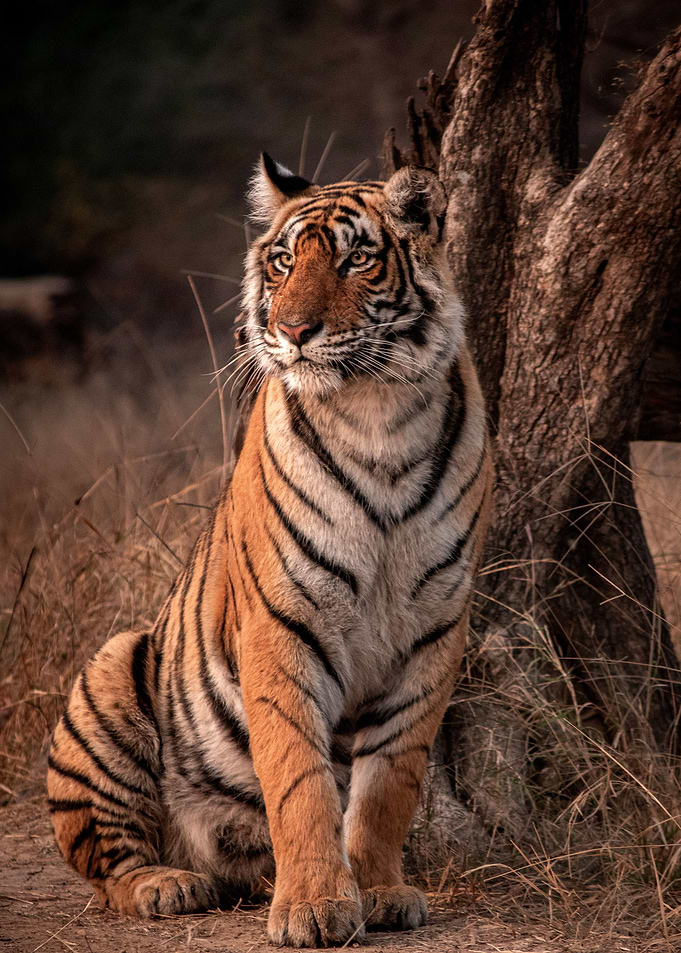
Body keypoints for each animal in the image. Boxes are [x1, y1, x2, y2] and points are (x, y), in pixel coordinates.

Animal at [47, 152, 492, 948]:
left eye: (355, 259)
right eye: (283, 262)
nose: (293, 329)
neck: (378, 414)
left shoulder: (434, 630)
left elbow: (389, 782)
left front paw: (379, 890)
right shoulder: (283, 621)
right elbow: (298, 778)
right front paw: (315, 906)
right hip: (111, 671)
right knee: (107, 864)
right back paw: (167, 883)